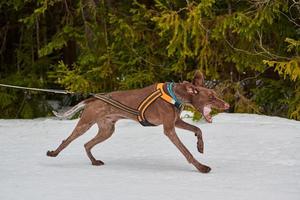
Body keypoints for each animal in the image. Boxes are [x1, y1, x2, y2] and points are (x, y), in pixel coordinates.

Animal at [47, 71, 230, 173]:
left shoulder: (175, 122)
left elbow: (198, 129)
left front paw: (200, 146)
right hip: (85, 123)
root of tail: (93, 99)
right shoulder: (169, 129)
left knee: (87, 144)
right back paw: (53, 153)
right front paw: (201, 167)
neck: (176, 94)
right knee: (67, 140)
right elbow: (186, 152)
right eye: (211, 97)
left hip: (107, 130)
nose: (227, 105)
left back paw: (94, 161)